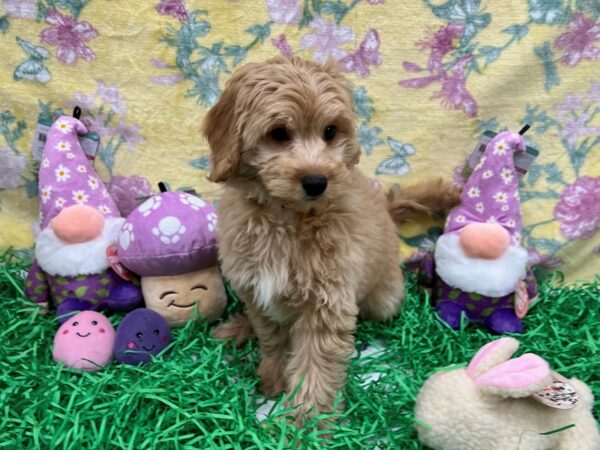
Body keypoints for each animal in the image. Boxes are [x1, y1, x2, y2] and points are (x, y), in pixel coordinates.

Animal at [204, 57, 458, 422]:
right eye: (278, 133)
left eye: (330, 132)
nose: (316, 181)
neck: (287, 218)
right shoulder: (258, 292)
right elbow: (274, 339)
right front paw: (274, 378)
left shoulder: (327, 304)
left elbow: (315, 365)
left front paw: (304, 421)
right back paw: (238, 327)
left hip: (384, 300)